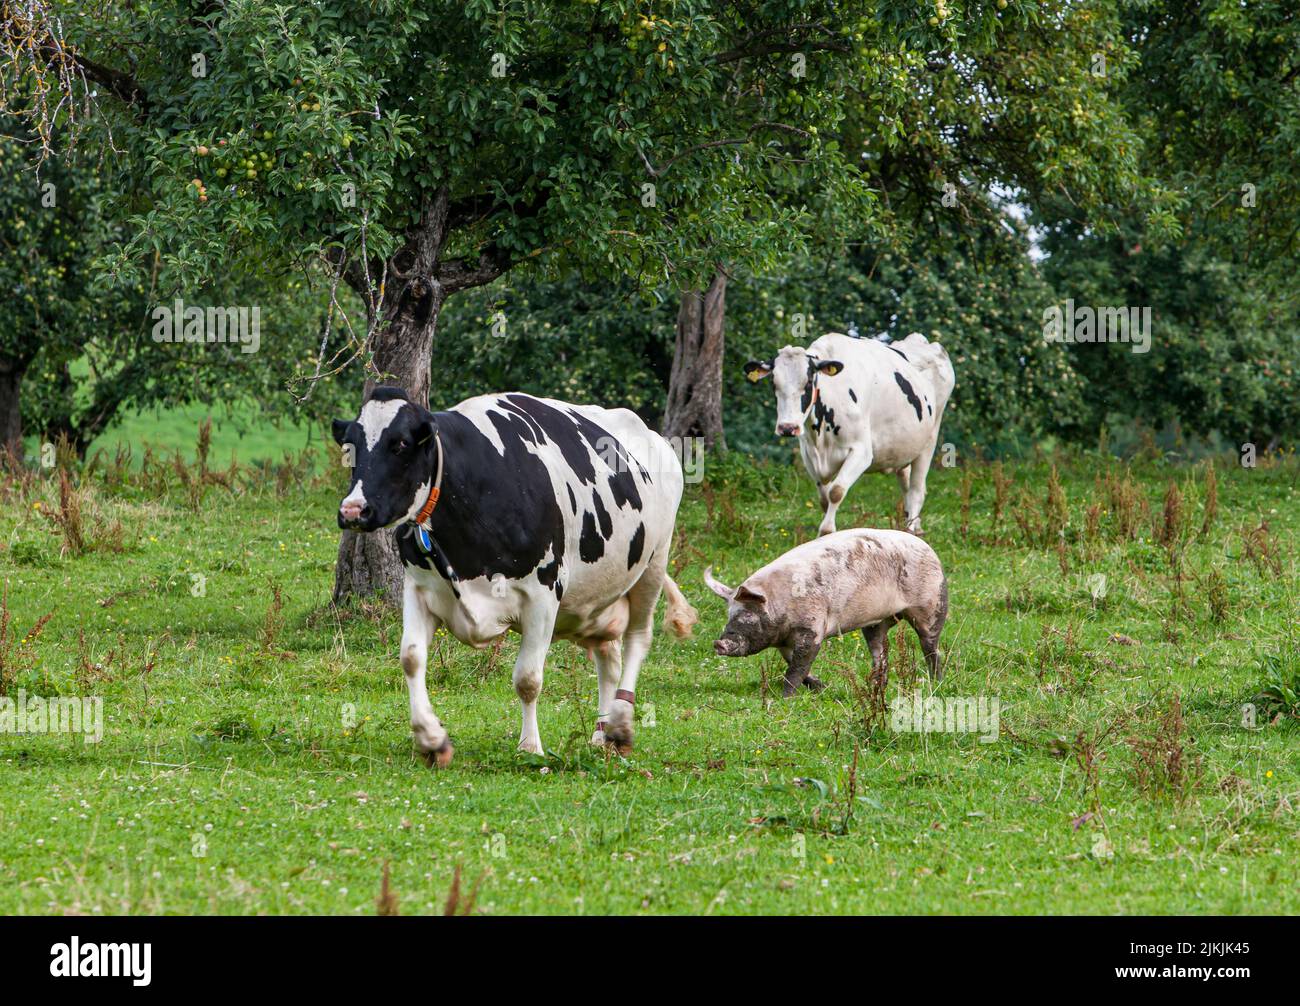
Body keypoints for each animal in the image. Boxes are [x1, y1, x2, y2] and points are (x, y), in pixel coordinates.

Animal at [332, 387, 698, 765]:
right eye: (350, 444)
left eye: (401, 444)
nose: (353, 510)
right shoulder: (419, 587)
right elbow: (411, 657)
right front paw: (432, 740)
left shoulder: (543, 593)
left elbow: (528, 678)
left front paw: (530, 746)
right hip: (599, 596)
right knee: (608, 657)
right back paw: (601, 734)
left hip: (653, 564)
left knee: (638, 639)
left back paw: (621, 726)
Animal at [703, 528, 947, 696]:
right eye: (728, 615)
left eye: (748, 615)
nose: (719, 643)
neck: (779, 603)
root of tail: (930, 549)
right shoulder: (784, 641)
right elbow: (793, 663)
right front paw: (823, 687)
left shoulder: (812, 627)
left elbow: (798, 666)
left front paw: (785, 697)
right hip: (875, 623)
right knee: (880, 652)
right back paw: (875, 684)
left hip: (932, 603)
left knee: (931, 646)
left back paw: (936, 681)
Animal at [744, 331, 955, 536]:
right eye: (774, 383)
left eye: (808, 382)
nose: (788, 427)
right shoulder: (809, 455)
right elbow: (824, 498)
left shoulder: (862, 452)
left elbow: (836, 491)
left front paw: (826, 531)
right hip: (904, 445)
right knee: (906, 481)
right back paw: (914, 525)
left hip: (930, 437)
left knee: (917, 490)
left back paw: (910, 530)